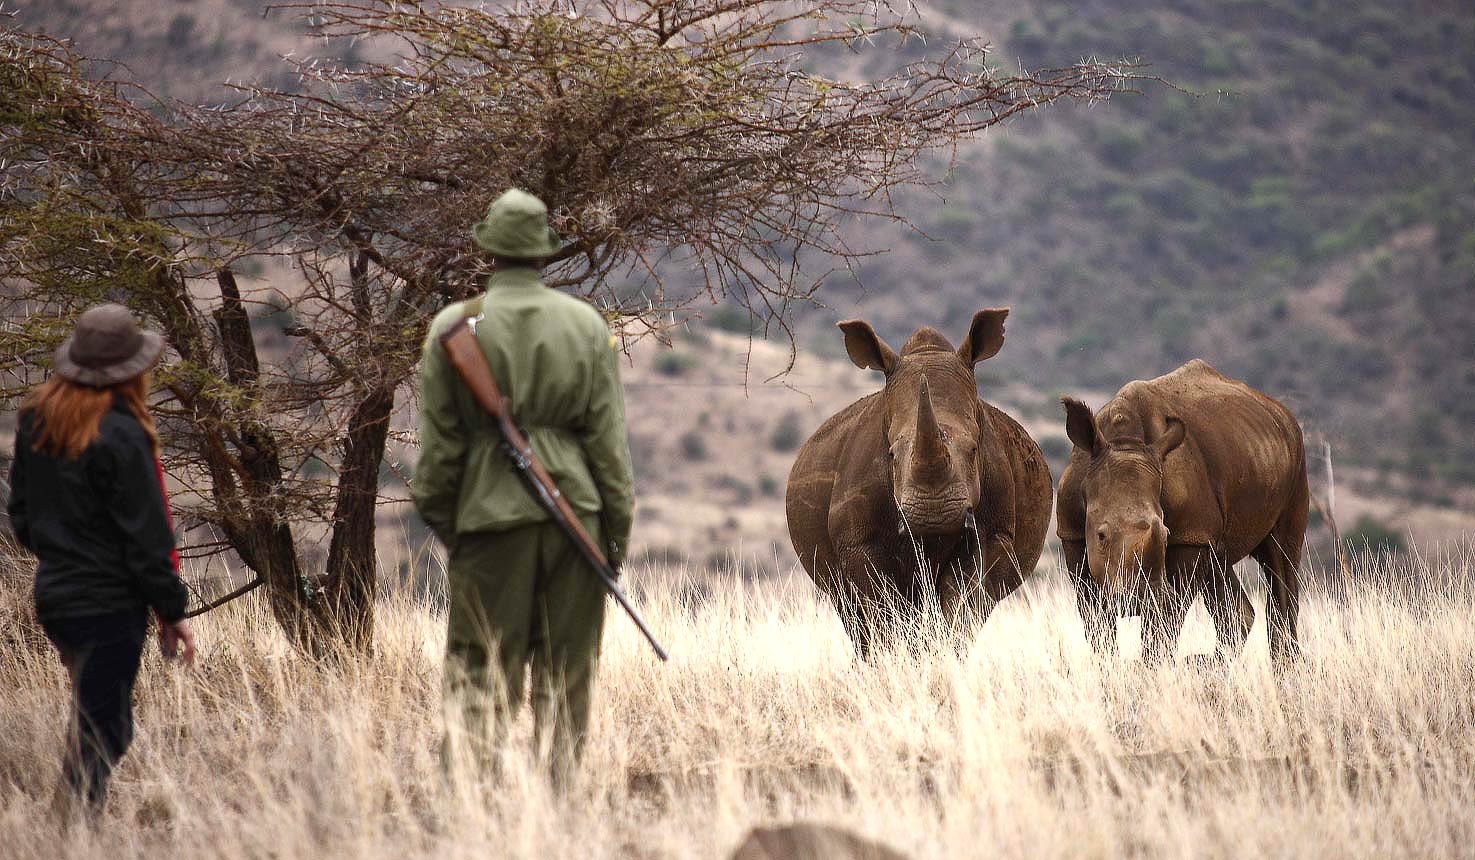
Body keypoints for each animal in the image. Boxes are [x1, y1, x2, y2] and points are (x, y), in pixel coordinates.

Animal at [785, 309, 1053, 655]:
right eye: (891, 454)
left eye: (974, 450)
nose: (933, 516)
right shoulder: (858, 541)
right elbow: (882, 611)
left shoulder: (994, 533)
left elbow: (961, 607)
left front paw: (945, 656)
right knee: (853, 612)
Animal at [1056, 359, 1309, 666]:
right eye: (1101, 536)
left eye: (1166, 536)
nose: (1138, 599)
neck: (1124, 441)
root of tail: (1282, 413)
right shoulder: (1072, 533)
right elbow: (1095, 621)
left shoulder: (1188, 535)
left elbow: (1164, 624)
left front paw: (1152, 672)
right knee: (1222, 567)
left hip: (1296, 460)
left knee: (1282, 556)